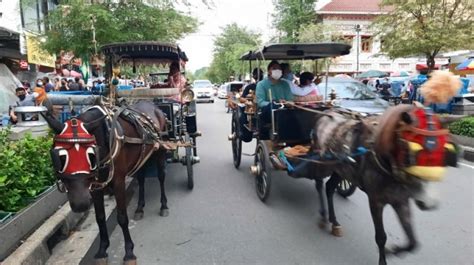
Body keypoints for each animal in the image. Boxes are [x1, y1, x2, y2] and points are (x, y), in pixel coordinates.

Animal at [43, 100, 168, 262]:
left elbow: (122, 217)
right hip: (142, 155)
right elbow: (100, 218)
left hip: (160, 149)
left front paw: (129, 252)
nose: (80, 204)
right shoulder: (94, 187)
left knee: (161, 176)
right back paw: (140, 208)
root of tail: (152, 104)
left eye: (91, 154)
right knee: (141, 178)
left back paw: (164, 205)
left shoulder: (119, 182)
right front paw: (102, 249)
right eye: (60, 157)